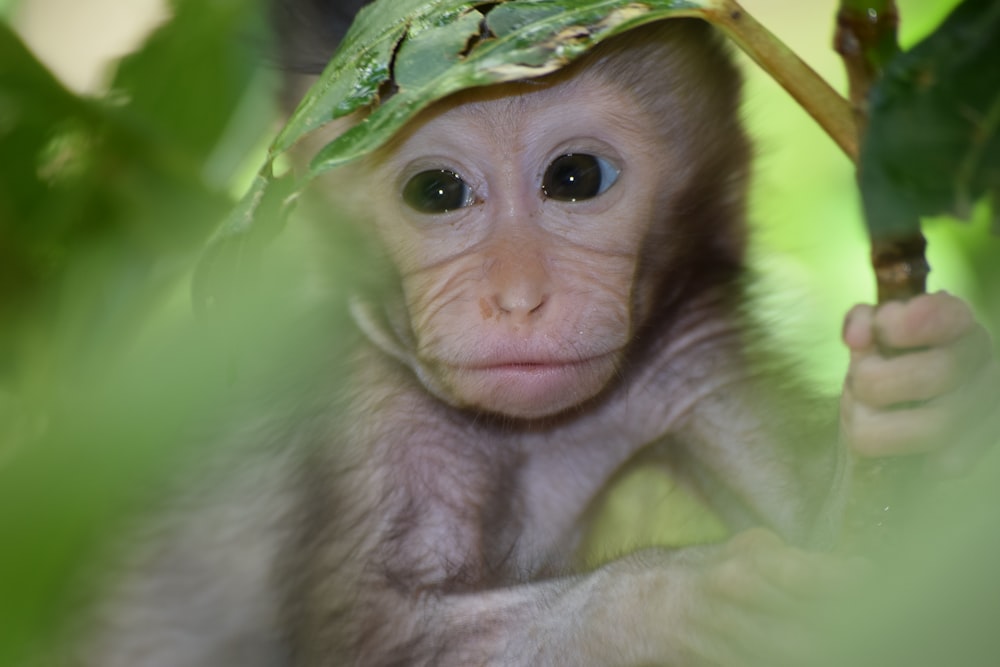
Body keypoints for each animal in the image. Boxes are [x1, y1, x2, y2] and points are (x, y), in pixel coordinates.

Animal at [80, 6, 1000, 667]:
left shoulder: (692, 346)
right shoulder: (377, 407)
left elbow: (875, 573)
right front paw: (681, 605)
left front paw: (933, 393)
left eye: (575, 177)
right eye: (437, 191)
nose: (517, 299)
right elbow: (369, 635)